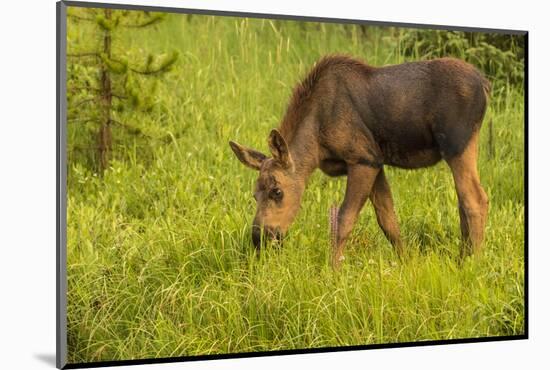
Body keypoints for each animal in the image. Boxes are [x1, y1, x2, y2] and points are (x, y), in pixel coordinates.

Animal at [229, 55, 492, 268]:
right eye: (254, 194)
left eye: (277, 191)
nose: (260, 237)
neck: (316, 146)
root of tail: (485, 84)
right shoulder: (376, 163)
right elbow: (388, 220)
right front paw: (407, 263)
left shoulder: (362, 160)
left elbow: (344, 219)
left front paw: (333, 271)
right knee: (463, 201)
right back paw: (463, 257)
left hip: (457, 145)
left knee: (475, 199)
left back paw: (472, 264)